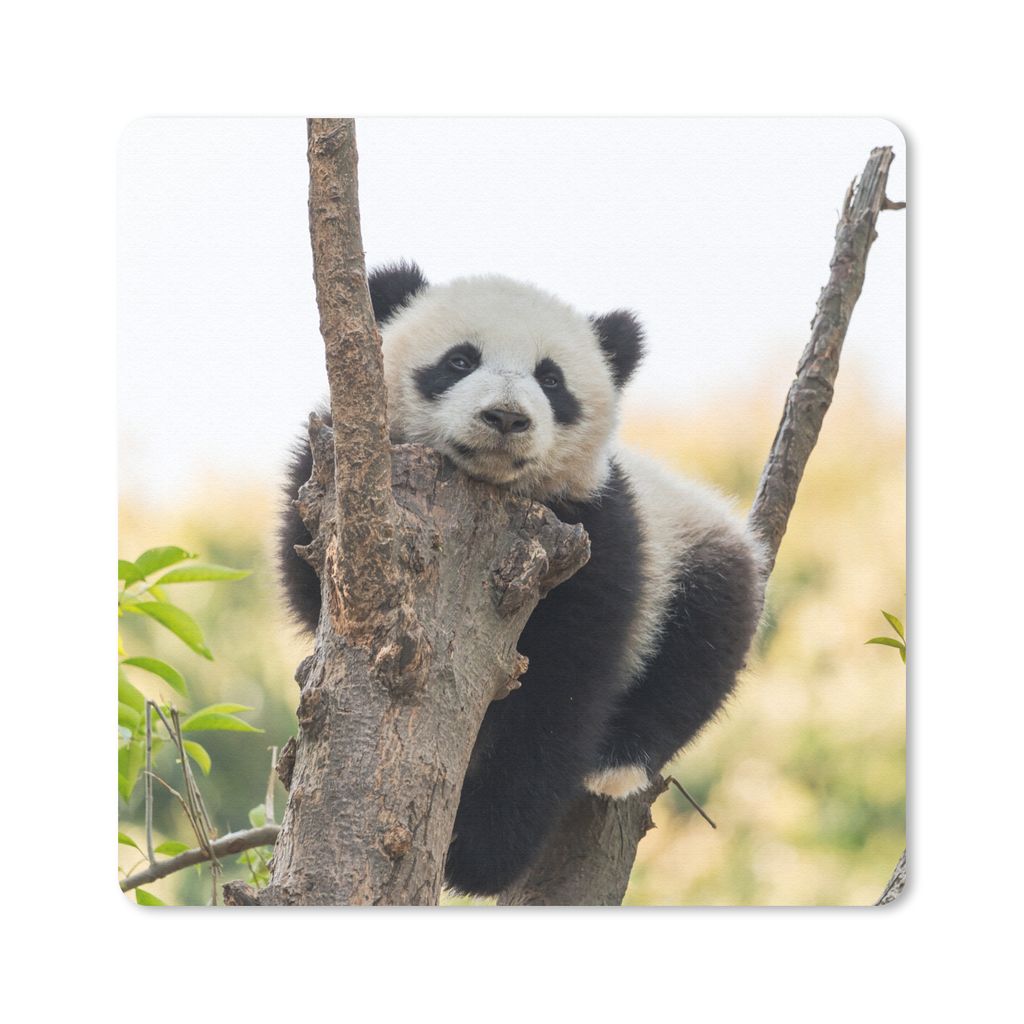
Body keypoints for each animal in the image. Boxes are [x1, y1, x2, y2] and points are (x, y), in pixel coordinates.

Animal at [278, 261, 765, 897]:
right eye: (460, 361)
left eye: (551, 379)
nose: (507, 417)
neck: (491, 490)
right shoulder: (331, 487)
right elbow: (308, 576)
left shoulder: (596, 532)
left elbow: (561, 689)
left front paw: (477, 852)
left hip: (692, 548)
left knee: (701, 646)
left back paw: (617, 762)